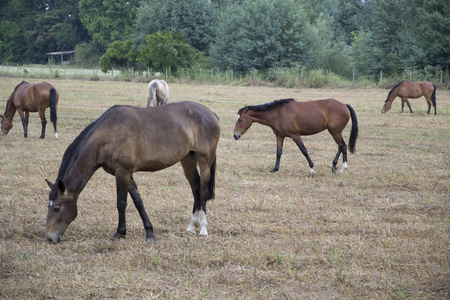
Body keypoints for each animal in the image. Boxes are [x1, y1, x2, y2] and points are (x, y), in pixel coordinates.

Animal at [45, 101, 220, 244]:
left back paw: (203, 229)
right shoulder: (125, 173)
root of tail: (210, 113)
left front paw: (119, 233)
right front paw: (149, 232)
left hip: (205, 161)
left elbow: (121, 203)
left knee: (203, 192)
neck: (109, 132)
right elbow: (138, 201)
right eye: (49, 206)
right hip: (188, 160)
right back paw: (191, 227)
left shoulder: (123, 171)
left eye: (57, 208)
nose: (49, 238)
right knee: (196, 189)